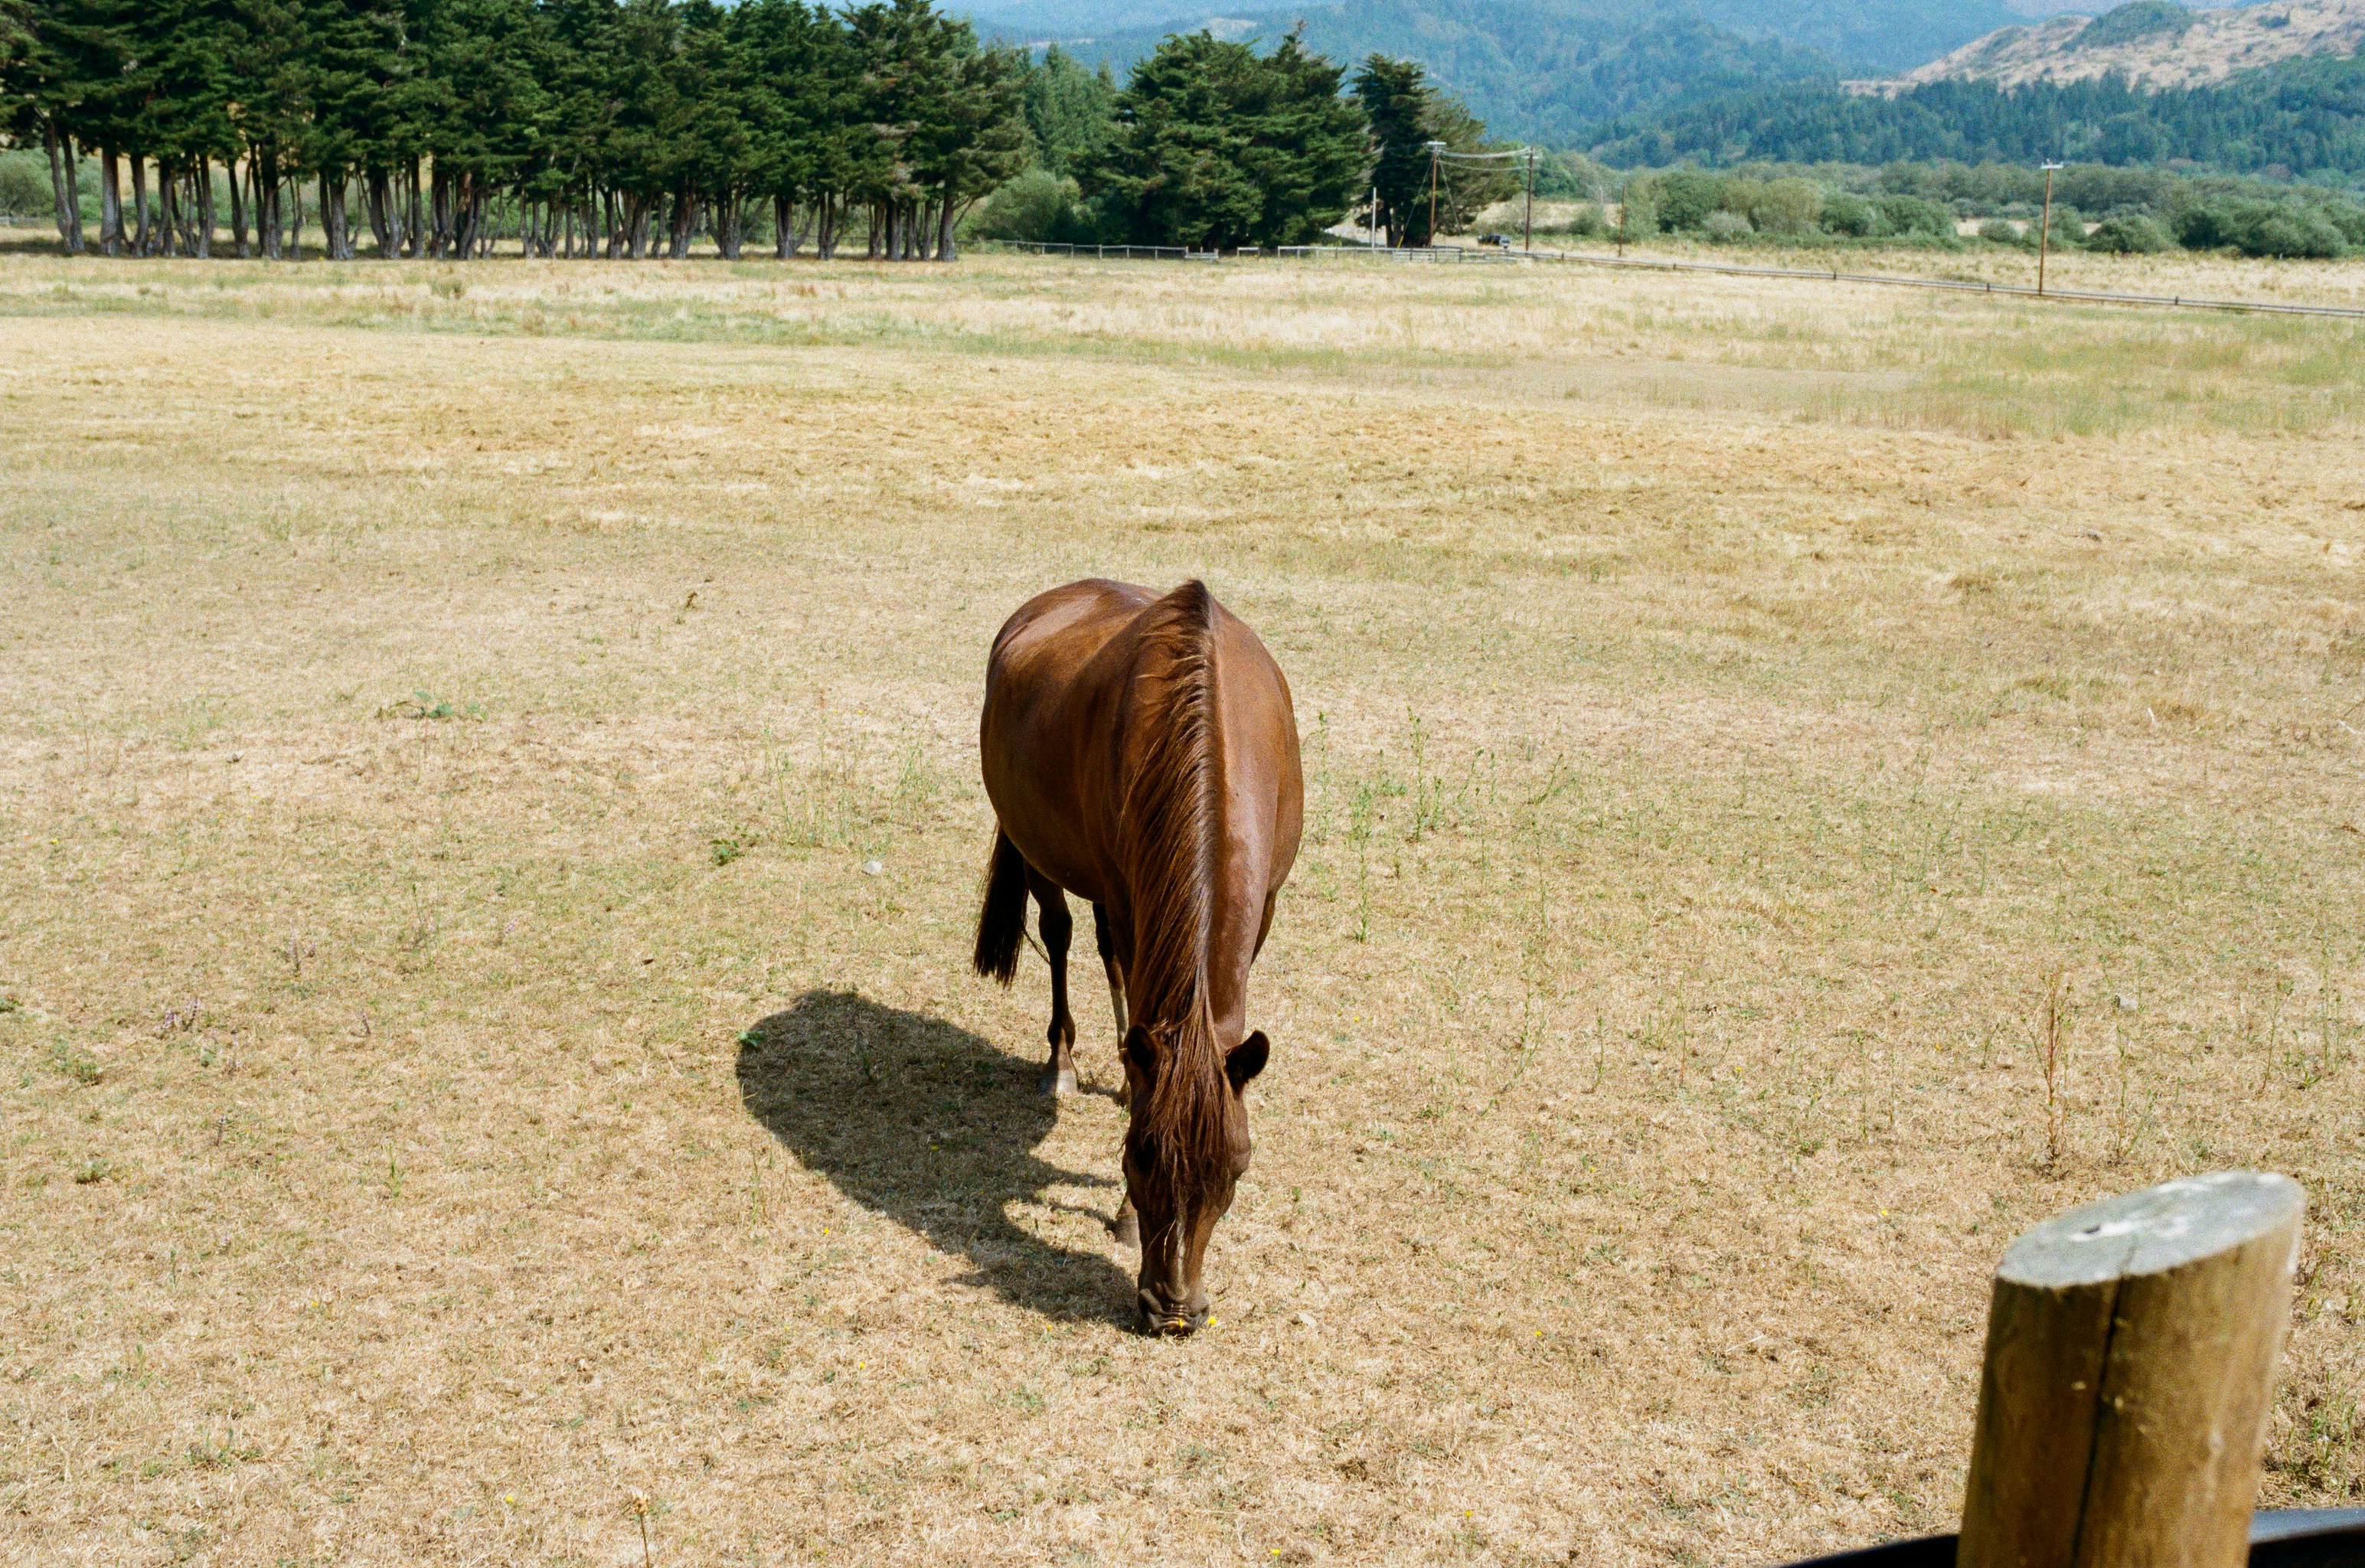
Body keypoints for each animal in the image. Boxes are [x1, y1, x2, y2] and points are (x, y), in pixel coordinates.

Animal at [972, 579, 1303, 1336]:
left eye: (1236, 1169)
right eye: (1138, 1158)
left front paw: (1135, 1076)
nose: (1174, 1310)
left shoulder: (1264, 902)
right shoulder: (1126, 894)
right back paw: (1062, 1064)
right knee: (1063, 936)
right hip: (1044, 855)